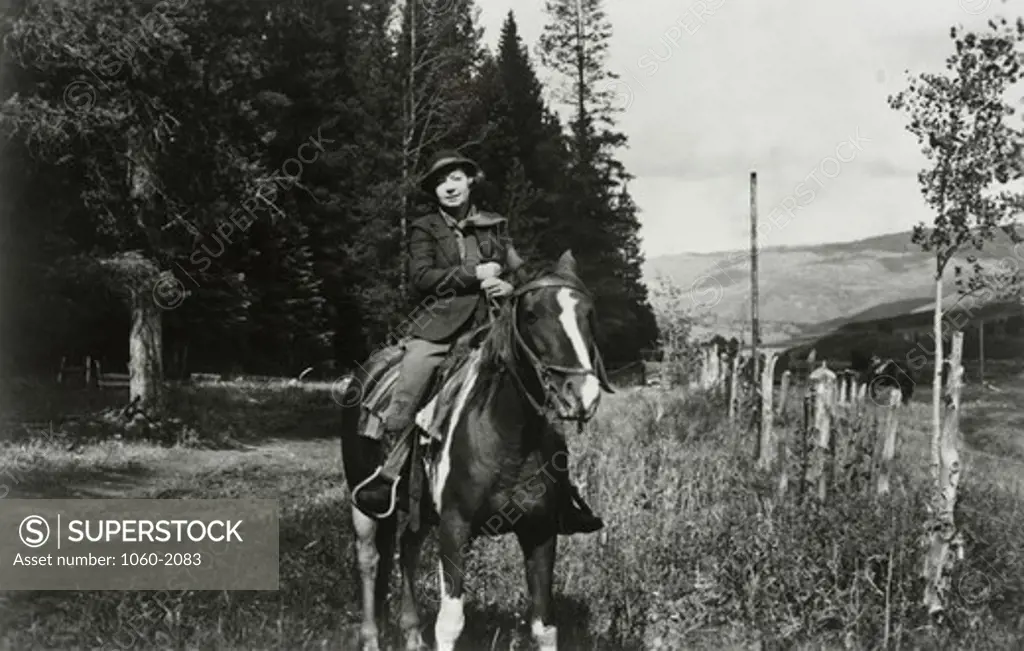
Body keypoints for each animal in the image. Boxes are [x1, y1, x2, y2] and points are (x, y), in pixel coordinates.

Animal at [344, 251, 610, 646]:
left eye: (588, 314)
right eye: (532, 315)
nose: (580, 396)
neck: (510, 438)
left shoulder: (540, 532)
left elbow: (544, 626)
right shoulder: (455, 528)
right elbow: (450, 624)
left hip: (418, 509)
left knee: (407, 551)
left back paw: (412, 636)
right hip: (362, 499)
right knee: (369, 558)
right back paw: (371, 638)